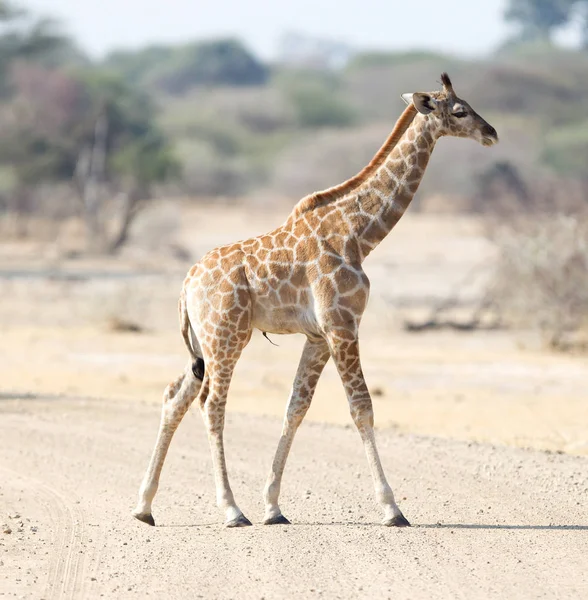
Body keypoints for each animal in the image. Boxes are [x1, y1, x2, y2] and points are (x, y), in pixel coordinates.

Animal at [132, 72, 496, 528]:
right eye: (460, 111)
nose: (491, 133)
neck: (359, 234)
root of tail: (186, 284)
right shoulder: (342, 324)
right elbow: (362, 408)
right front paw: (392, 508)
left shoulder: (318, 336)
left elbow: (296, 408)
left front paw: (273, 506)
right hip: (227, 337)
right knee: (210, 404)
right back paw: (231, 509)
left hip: (204, 343)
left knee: (174, 396)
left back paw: (144, 506)